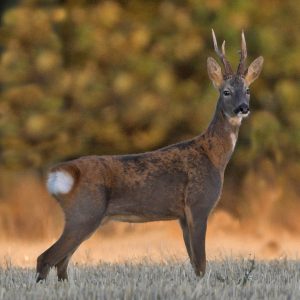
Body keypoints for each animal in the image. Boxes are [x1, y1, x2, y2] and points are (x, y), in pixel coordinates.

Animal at [37, 29, 262, 282]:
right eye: (226, 91)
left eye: (248, 90)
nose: (243, 108)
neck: (214, 157)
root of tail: (63, 173)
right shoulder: (198, 204)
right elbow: (202, 264)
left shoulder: (182, 216)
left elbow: (195, 264)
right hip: (84, 213)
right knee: (46, 258)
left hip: (86, 218)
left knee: (61, 263)